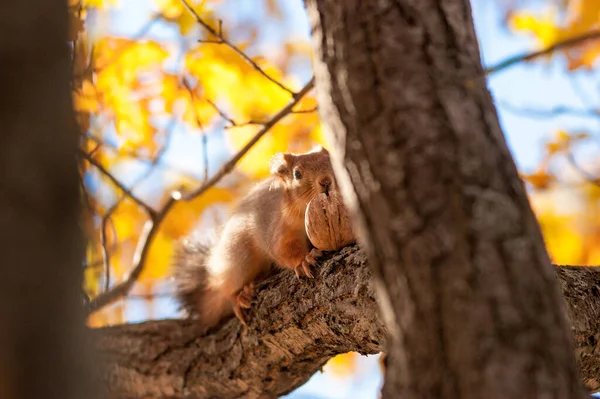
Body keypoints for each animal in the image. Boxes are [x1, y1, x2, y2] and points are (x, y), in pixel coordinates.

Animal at [172, 146, 338, 328]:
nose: (325, 181)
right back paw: (239, 296)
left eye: (333, 161)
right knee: (225, 287)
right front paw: (304, 260)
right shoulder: (278, 228)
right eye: (297, 174)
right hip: (239, 257)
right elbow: (283, 250)